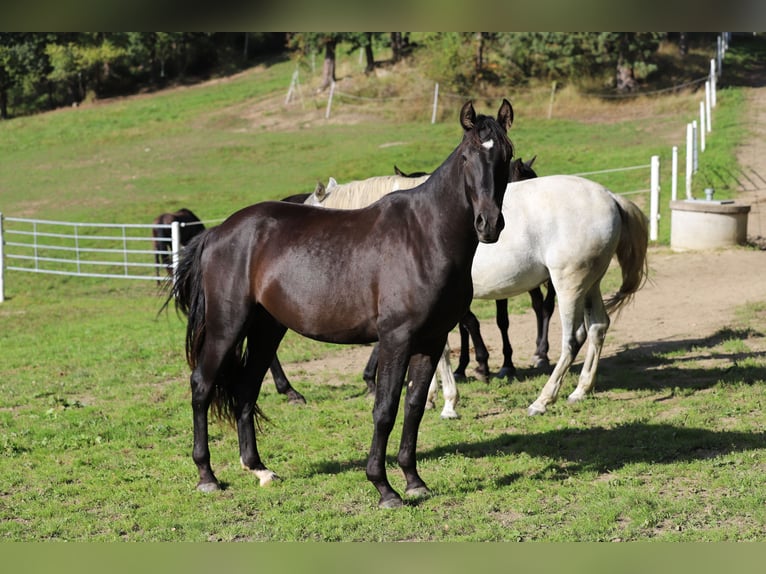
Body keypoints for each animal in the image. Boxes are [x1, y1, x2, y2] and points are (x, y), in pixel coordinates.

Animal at [168, 99, 515, 508]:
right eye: (466, 156)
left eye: (506, 155)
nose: (488, 224)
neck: (425, 235)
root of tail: (218, 232)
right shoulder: (396, 339)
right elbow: (385, 409)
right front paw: (384, 488)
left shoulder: (431, 340)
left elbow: (413, 407)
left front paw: (414, 480)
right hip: (228, 327)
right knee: (202, 385)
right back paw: (206, 475)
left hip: (267, 328)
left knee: (246, 389)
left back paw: (260, 469)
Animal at [302, 173, 648, 418]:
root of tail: (609, 197)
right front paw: (431, 397)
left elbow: (441, 353)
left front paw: (448, 403)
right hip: (590, 283)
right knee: (598, 328)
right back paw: (581, 390)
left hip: (569, 284)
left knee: (572, 340)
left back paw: (542, 400)